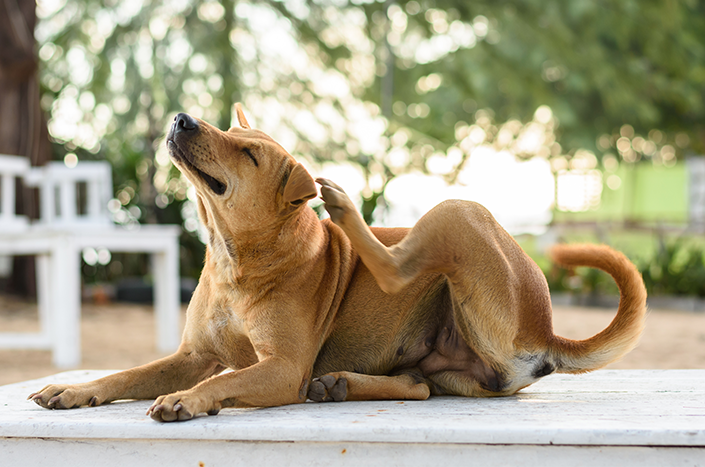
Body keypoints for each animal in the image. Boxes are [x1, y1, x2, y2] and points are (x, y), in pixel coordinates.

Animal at [26, 107, 644, 424]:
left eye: (248, 153)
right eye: (233, 131)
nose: (182, 119)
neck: (237, 259)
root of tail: (546, 328)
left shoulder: (283, 368)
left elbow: (228, 378)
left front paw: (189, 400)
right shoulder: (191, 356)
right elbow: (126, 375)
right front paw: (77, 390)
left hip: (458, 213)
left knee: (397, 267)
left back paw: (344, 208)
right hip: (448, 367)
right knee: (417, 387)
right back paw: (343, 384)